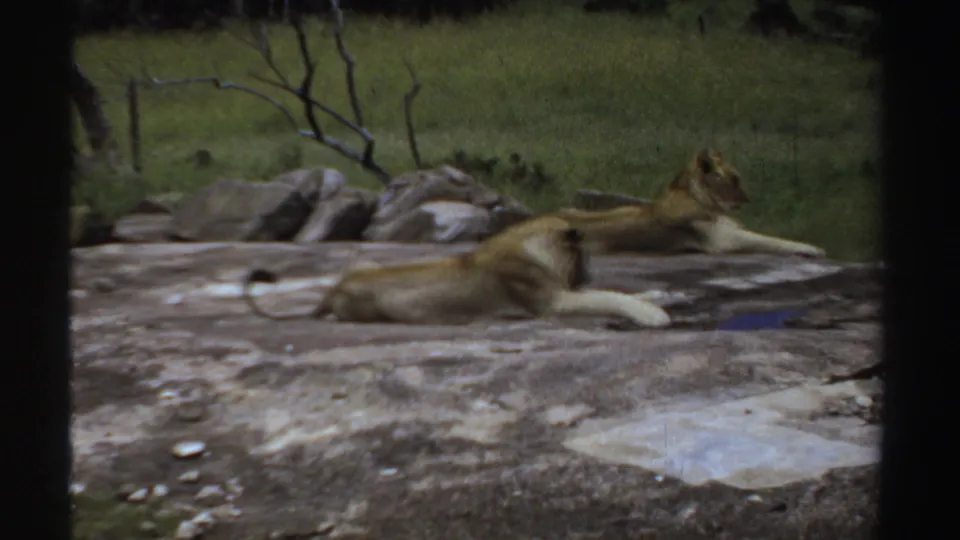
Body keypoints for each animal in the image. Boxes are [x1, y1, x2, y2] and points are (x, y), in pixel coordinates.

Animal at [241, 215, 671, 328]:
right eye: (585, 259)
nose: (589, 274)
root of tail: (333, 289)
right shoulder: (552, 302)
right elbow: (609, 296)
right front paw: (654, 315)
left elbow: (623, 292)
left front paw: (659, 295)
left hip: (365, 260)